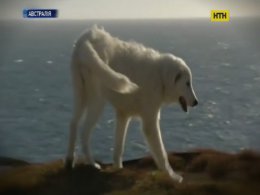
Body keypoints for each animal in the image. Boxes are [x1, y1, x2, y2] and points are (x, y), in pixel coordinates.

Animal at [64, 25, 197, 183]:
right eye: (187, 83)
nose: (196, 102)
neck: (161, 77)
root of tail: (88, 38)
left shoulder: (123, 115)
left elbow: (119, 147)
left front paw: (118, 168)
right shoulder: (149, 121)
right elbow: (161, 153)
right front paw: (173, 176)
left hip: (80, 94)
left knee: (73, 123)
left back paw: (70, 161)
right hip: (97, 101)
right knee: (84, 131)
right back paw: (92, 163)